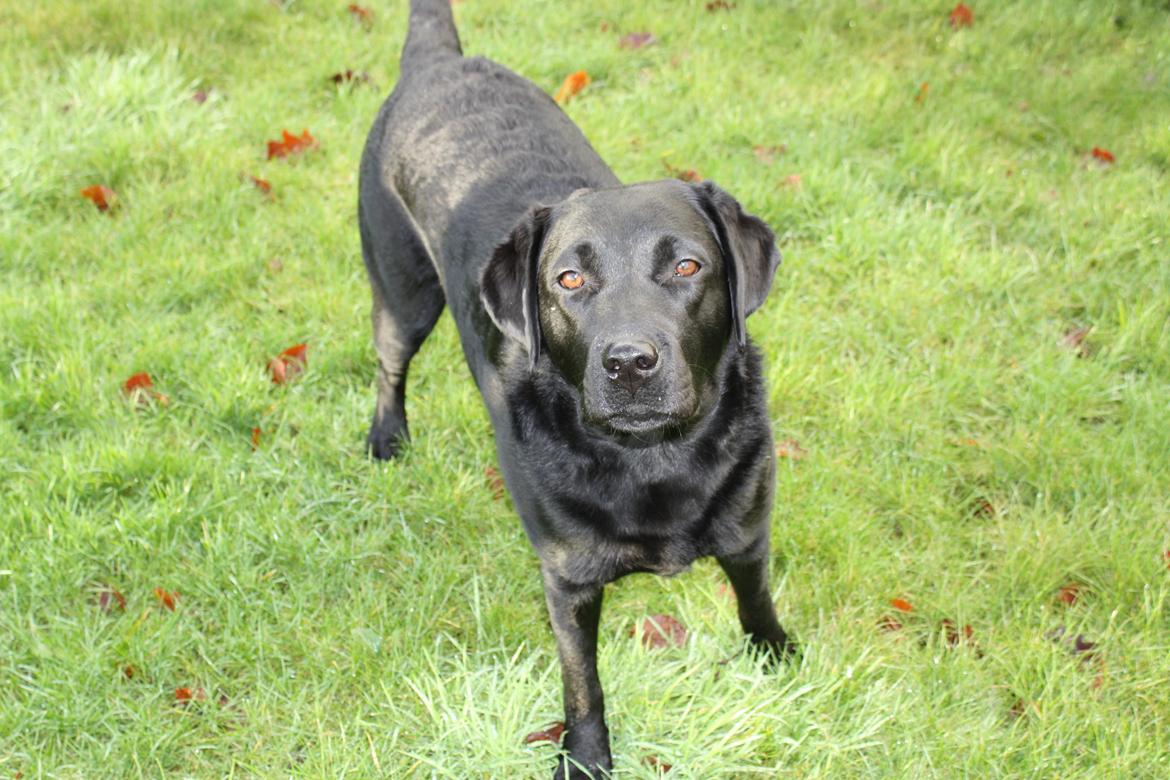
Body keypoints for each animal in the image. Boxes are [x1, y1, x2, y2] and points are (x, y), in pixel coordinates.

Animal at [358, 3, 795, 776]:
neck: (652, 461)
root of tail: (438, 60)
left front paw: (772, 653)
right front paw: (587, 755)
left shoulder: (748, 526)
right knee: (389, 361)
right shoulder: (567, 581)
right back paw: (388, 435)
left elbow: (754, 595)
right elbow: (582, 682)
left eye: (687, 266)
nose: (628, 362)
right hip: (402, 288)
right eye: (569, 279)